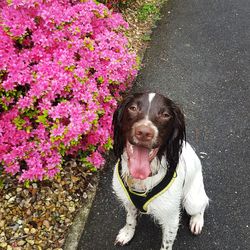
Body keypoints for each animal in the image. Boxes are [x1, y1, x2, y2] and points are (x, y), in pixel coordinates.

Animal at [112, 92, 209, 250]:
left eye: (165, 115)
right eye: (133, 108)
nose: (144, 132)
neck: (142, 180)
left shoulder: (171, 219)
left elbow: (166, 244)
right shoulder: (128, 201)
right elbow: (130, 219)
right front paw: (127, 234)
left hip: (192, 201)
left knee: (202, 205)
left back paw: (197, 221)